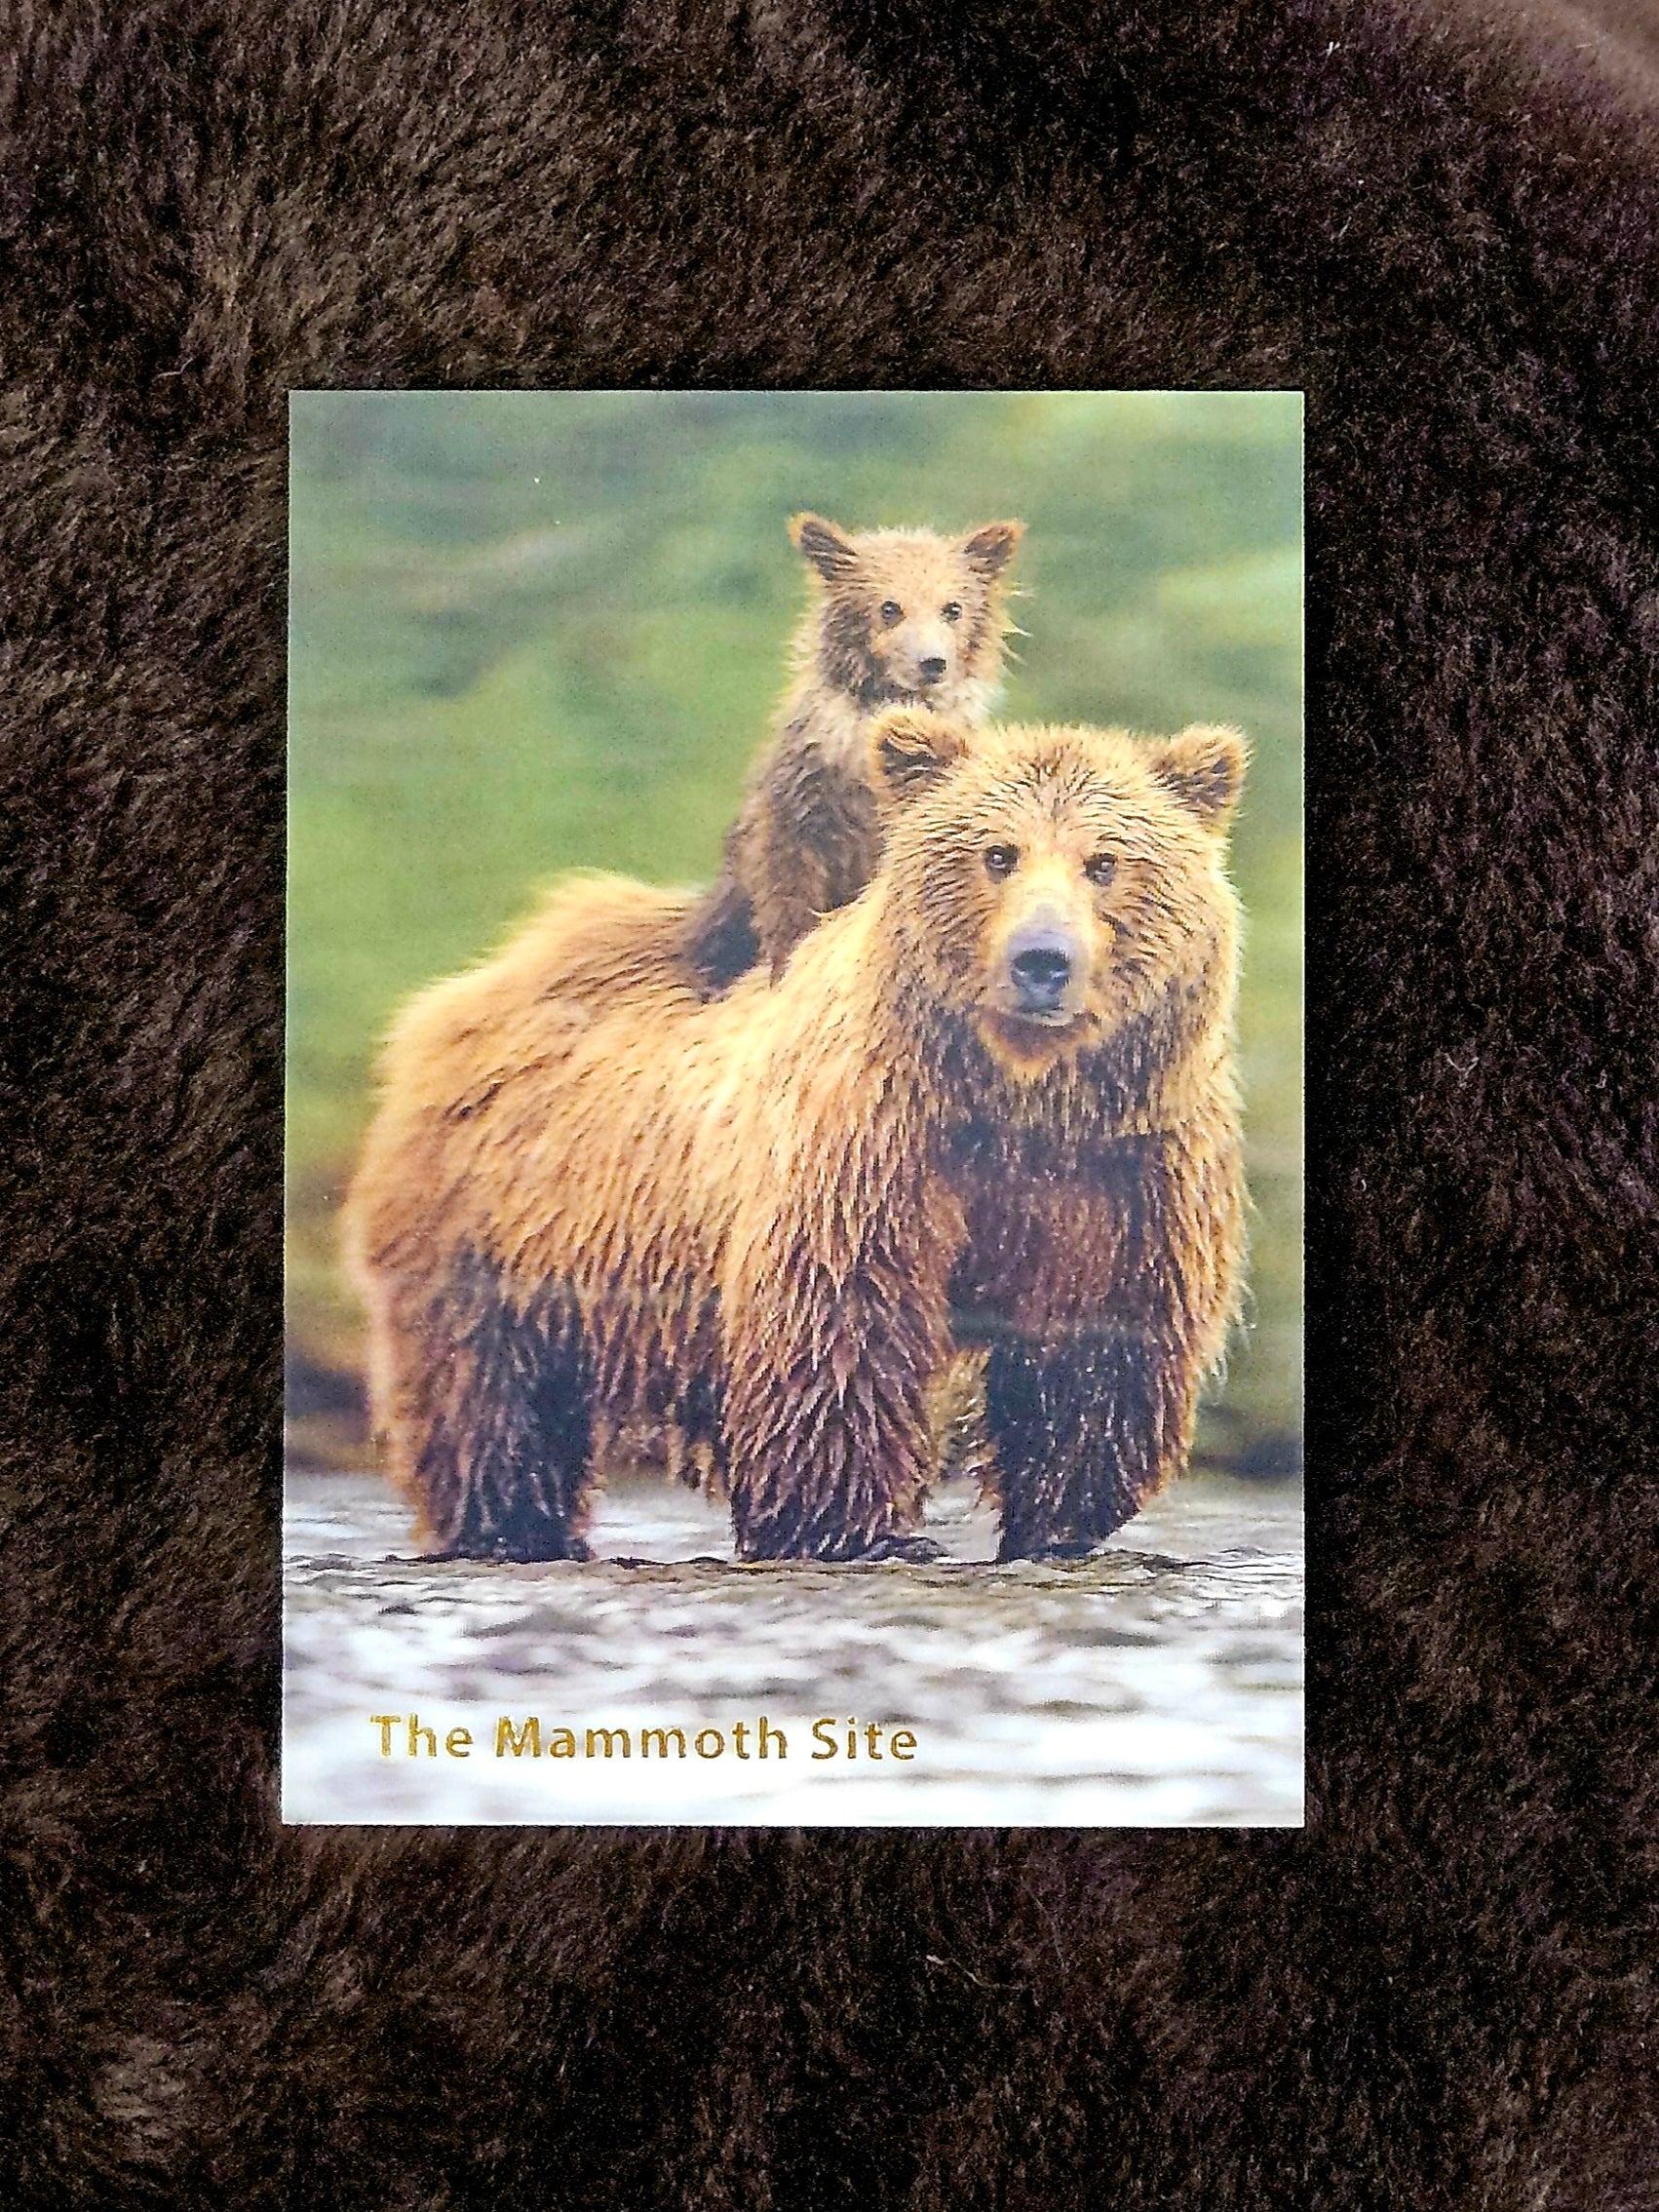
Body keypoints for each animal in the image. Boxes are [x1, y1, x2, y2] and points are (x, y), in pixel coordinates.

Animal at [342, 705, 1248, 1565]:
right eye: (998, 854)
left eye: (1105, 861)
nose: (1043, 960)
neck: (1016, 1098)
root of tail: (471, 987)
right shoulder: (872, 1151)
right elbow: (842, 1332)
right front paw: (864, 1529)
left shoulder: (1121, 1175)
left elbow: (1091, 1356)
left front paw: (1058, 1524)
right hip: (494, 1225)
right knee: (489, 1399)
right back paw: (508, 1525)